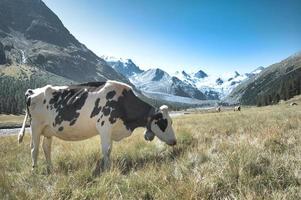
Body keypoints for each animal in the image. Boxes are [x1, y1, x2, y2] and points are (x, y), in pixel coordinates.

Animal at [17, 80, 176, 173]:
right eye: (163, 122)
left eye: (171, 121)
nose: (174, 141)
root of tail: (32, 91)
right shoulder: (104, 127)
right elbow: (106, 150)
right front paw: (106, 169)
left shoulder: (111, 130)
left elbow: (109, 150)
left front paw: (108, 166)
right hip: (35, 126)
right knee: (34, 149)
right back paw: (35, 171)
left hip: (48, 130)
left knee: (46, 148)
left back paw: (51, 169)